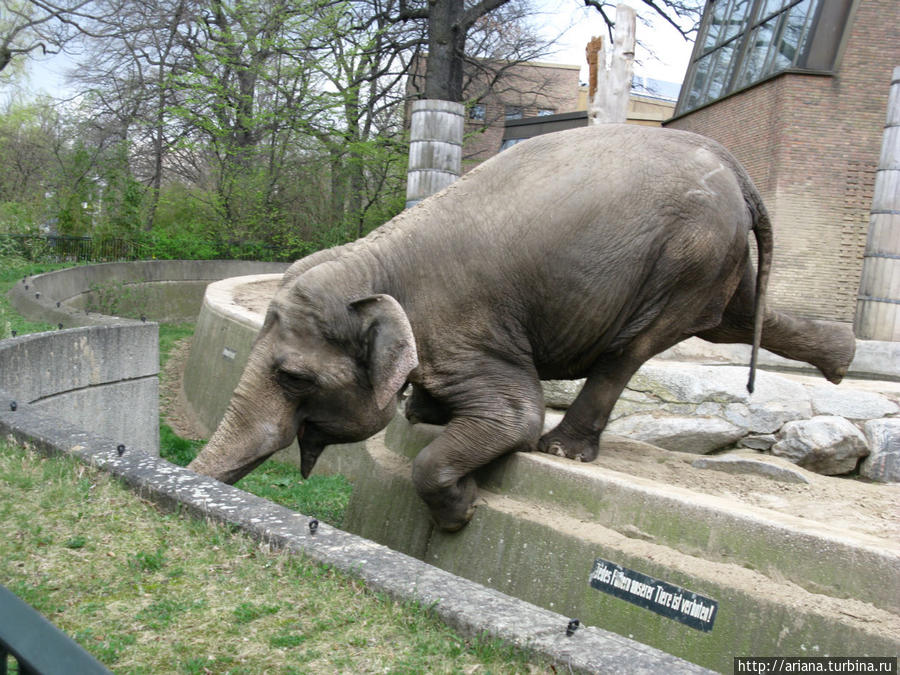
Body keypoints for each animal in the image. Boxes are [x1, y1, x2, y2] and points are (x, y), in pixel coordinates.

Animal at [186, 124, 856, 532]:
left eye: (294, 378)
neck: (374, 260)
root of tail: (735, 167)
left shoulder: (468, 329)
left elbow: (514, 418)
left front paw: (461, 514)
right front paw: (425, 415)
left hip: (685, 257)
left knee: (634, 348)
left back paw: (561, 449)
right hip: (713, 257)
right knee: (731, 319)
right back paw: (843, 359)